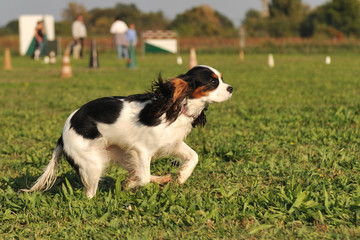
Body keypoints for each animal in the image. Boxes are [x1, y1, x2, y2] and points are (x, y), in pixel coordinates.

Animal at [23, 65, 233, 199]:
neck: (175, 107)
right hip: (92, 164)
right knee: (89, 194)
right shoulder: (142, 151)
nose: (231, 88)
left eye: (222, 79)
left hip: (120, 153)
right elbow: (143, 178)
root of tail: (62, 135)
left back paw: (162, 178)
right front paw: (128, 186)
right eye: (213, 82)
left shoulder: (172, 143)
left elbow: (194, 156)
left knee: (135, 171)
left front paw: (182, 176)